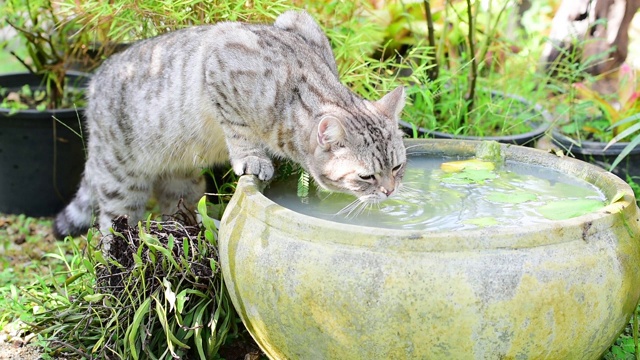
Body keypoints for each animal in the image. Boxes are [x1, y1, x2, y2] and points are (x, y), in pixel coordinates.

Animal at [52, 9, 408, 239]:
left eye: (397, 167)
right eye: (366, 176)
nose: (390, 191)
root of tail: (94, 82)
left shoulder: (297, 18)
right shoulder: (220, 56)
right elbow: (239, 128)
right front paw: (252, 157)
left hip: (182, 181)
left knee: (175, 207)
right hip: (120, 181)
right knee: (109, 226)